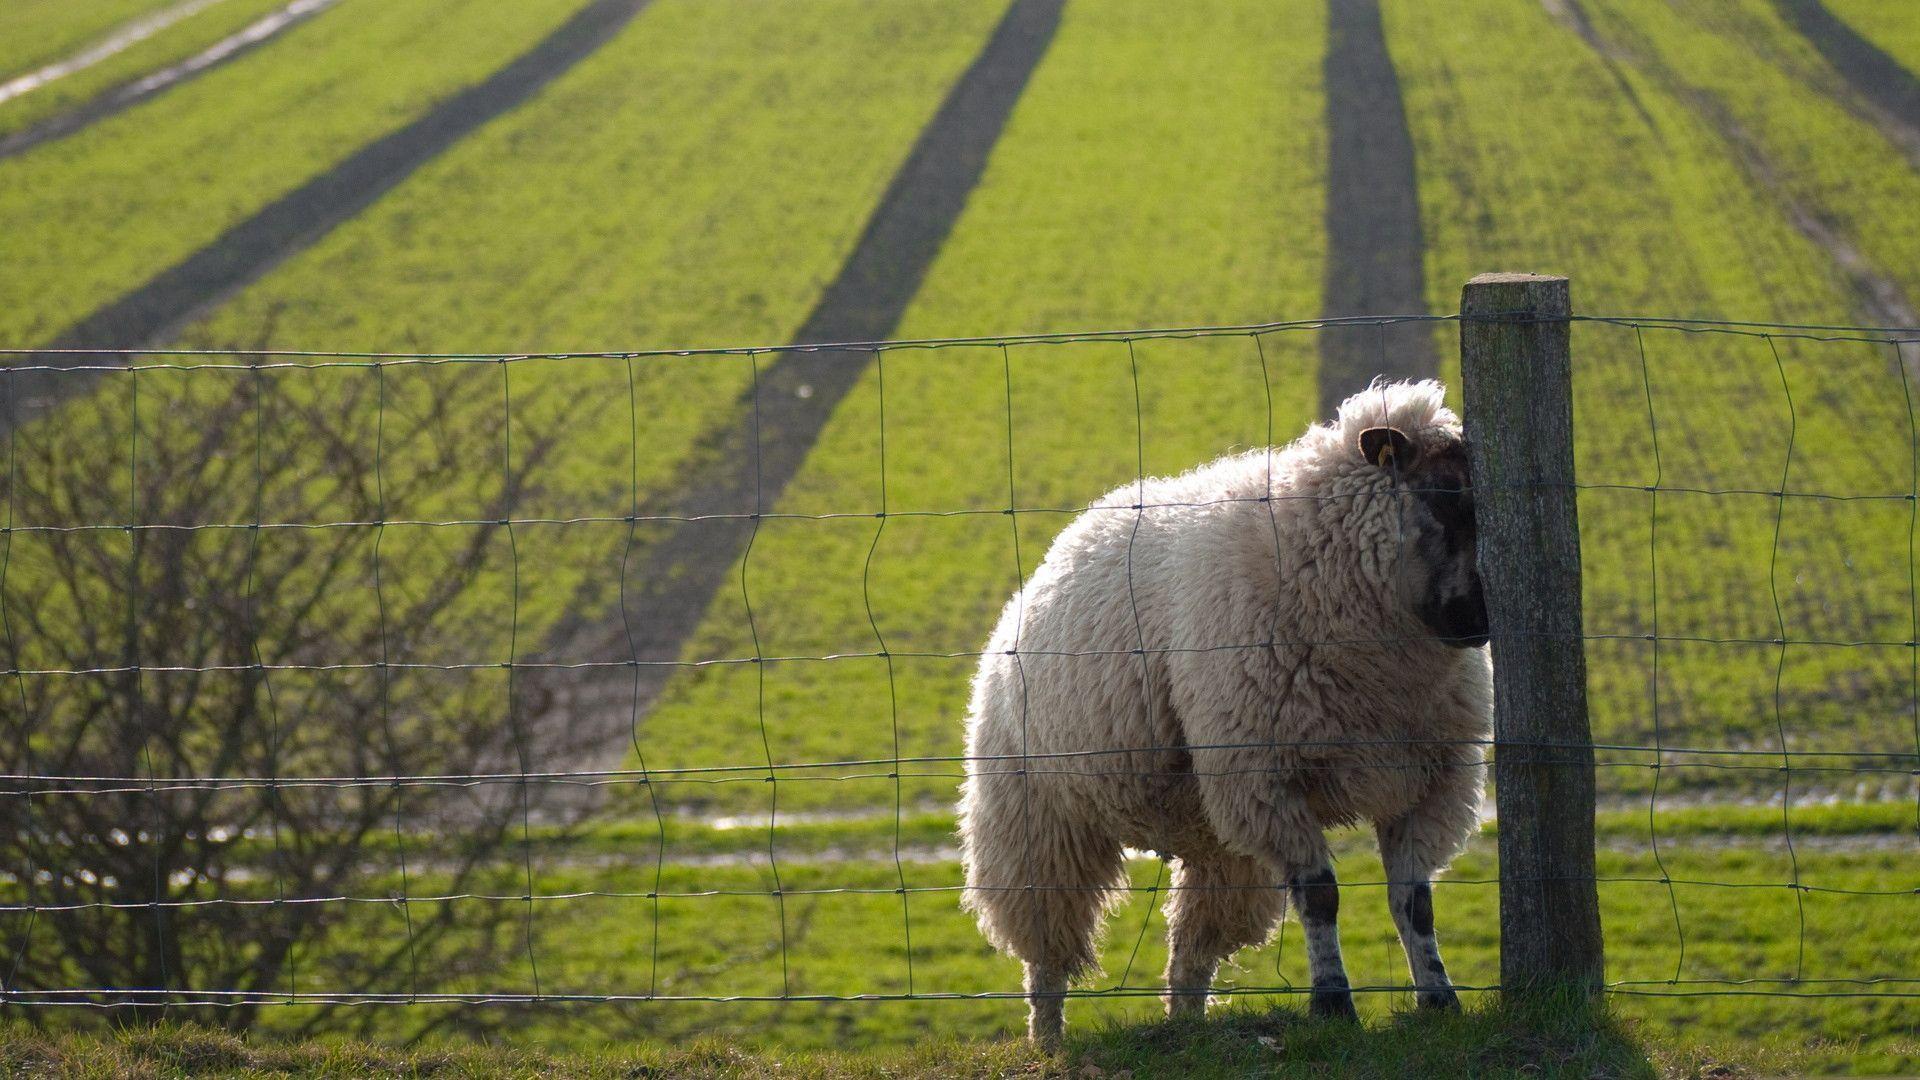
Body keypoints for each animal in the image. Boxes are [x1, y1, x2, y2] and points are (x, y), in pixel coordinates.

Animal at [956, 379, 1492, 1047]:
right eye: (1443, 497)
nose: (1481, 621)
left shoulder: (1431, 781)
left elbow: (1414, 903)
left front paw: (1440, 998)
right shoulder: (1268, 778)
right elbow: (1321, 897)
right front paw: (1333, 1005)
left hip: (1214, 837)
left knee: (1192, 948)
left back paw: (1186, 1023)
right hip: (1036, 824)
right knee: (1047, 951)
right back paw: (1049, 1040)